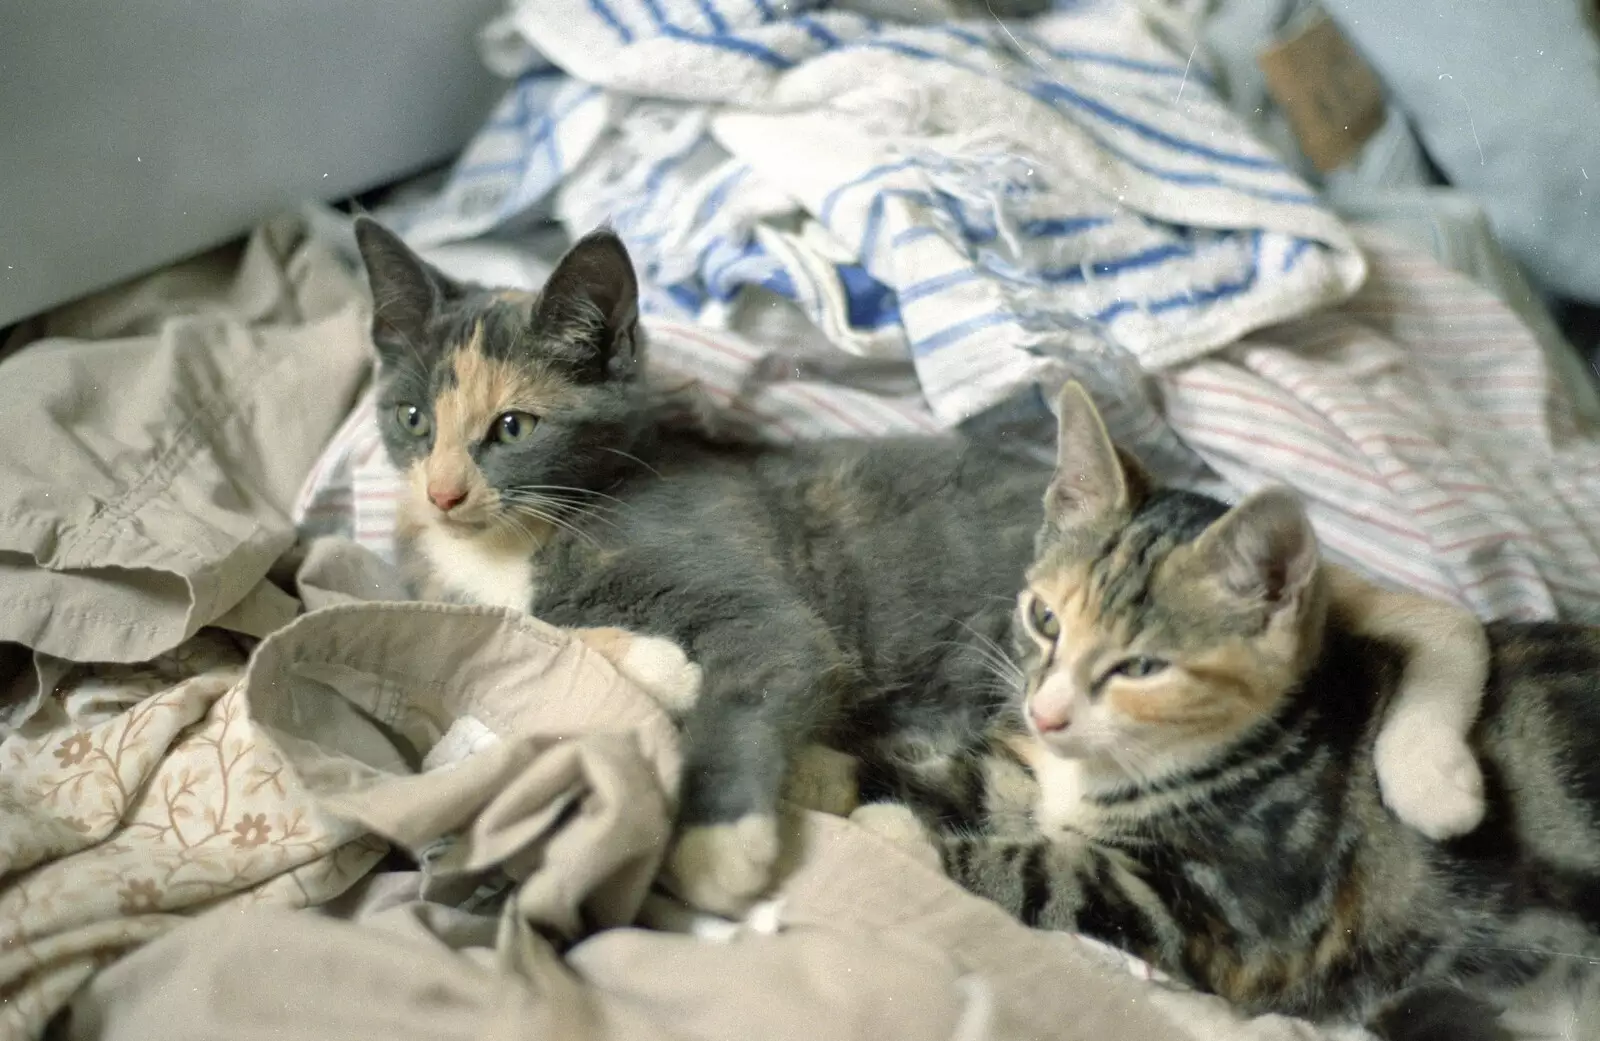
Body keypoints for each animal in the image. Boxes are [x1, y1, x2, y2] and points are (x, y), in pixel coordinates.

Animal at [356, 217, 1491, 914]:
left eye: (512, 427)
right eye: (411, 417)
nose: (443, 491)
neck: (521, 537)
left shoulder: (757, 604)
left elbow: (747, 675)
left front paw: (714, 845)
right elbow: (525, 629)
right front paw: (650, 663)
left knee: (1426, 610)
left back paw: (1436, 779)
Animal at [883, 385, 1600, 1041]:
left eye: (1141, 669)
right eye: (1046, 619)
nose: (1046, 714)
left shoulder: (1223, 916)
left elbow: (1032, 871)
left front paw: (905, 842)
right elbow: (953, 776)